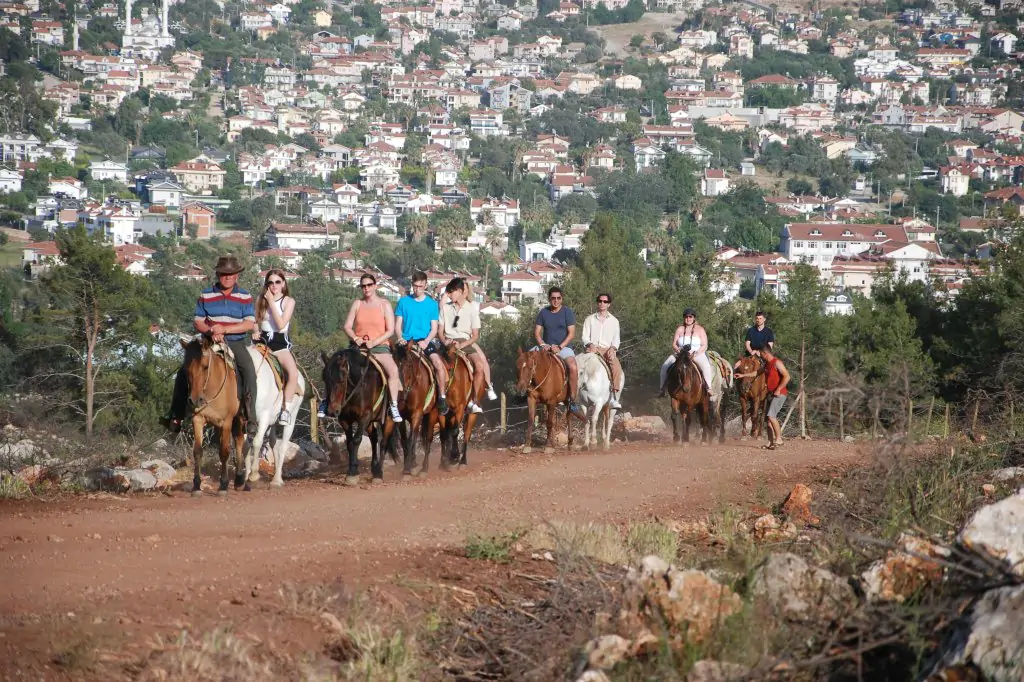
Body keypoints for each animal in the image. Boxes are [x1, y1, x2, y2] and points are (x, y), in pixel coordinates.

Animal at [178, 333, 245, 493]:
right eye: (186, 368)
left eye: (205, 366)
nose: (194, 400)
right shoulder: (198, 419)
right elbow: (197, 451)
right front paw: (196, 485)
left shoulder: (227, 421)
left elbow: (224, 452)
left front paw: (224, 484)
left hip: (239, 418)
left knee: (242, 441)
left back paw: (242, 479)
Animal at [241, 348, 305, 485]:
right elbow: (245, 446)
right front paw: (245, 476)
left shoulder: (264, 417)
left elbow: (257, 442)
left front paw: (253, 475)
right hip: (272, 424)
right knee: (273, 444)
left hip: (291, 419)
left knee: (283, 447)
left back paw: (277, 480)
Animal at [321, 346, 393, 483]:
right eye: (325, 379)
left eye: (341, 380)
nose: (332, 411)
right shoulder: (344, 419)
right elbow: (349, 443)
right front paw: (351, 470)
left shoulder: (365, 416)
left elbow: (356, 440)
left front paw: (353, 474)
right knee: (374, 437)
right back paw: (374, 468)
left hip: (387, 419)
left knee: (383, 442)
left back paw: (379, 473)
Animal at [393, 342, 438, 475]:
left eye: (408, 365)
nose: (399, 390)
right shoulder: (401, 416)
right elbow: (404, 440)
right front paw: (406, 466)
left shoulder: (417, 413)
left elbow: (411, 439)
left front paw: (407, 469)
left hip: (432, 413)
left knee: (428, 438)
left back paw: (424, 468)